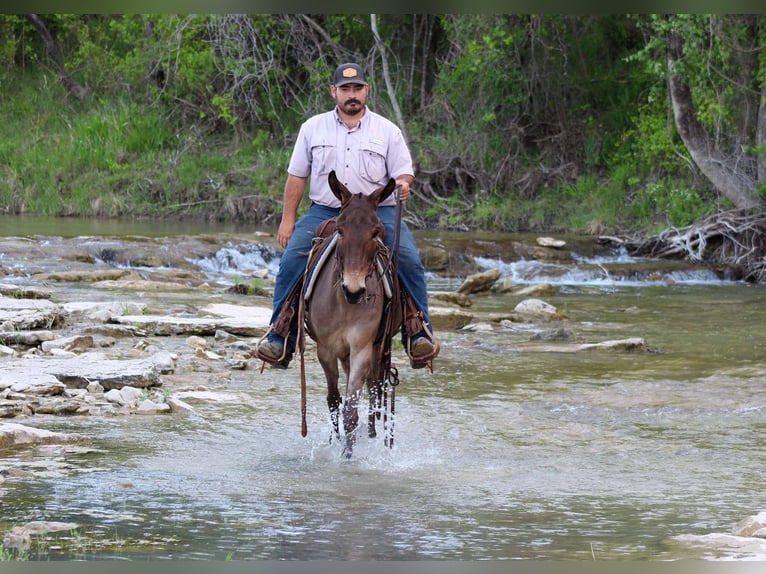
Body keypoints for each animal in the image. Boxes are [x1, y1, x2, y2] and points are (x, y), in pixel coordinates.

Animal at [299, 170, 401, 458]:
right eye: (340, 230)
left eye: (376, 231)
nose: (353, 289)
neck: (344, 303)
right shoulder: (326, 349)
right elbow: (334, 401)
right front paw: (337, 445)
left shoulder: (362, 348)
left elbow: (351, 411)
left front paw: (348, 455)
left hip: (377, 348)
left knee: (374, 390)